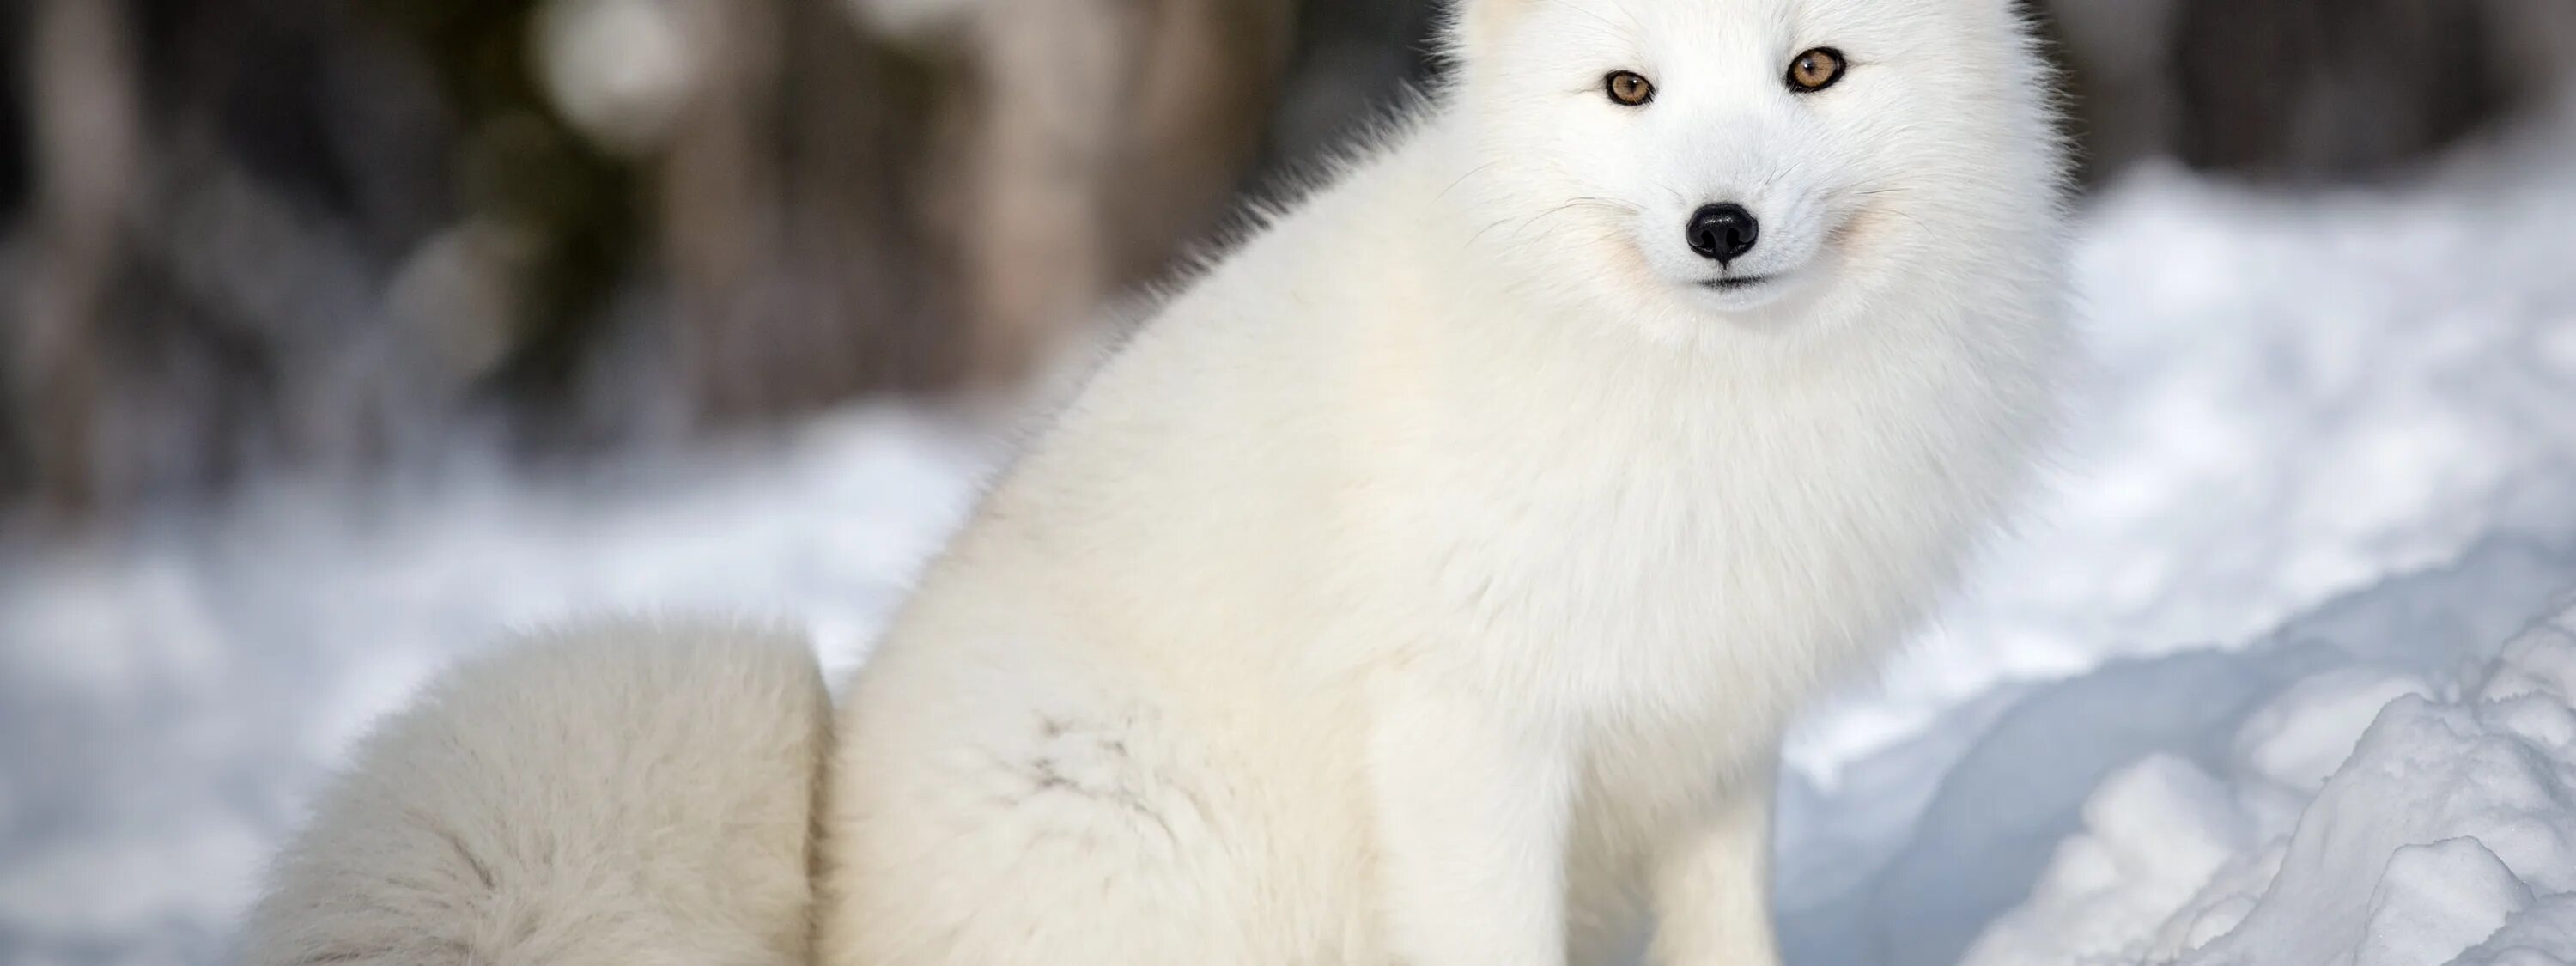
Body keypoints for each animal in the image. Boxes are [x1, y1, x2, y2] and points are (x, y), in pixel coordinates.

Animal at [242, 2, 2071, 966]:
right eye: (1629, 91)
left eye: (1814, 68)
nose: (1719, 227)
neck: (1705, 397)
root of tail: (827, 894)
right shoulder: (1467, 734)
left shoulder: (1709, 732)